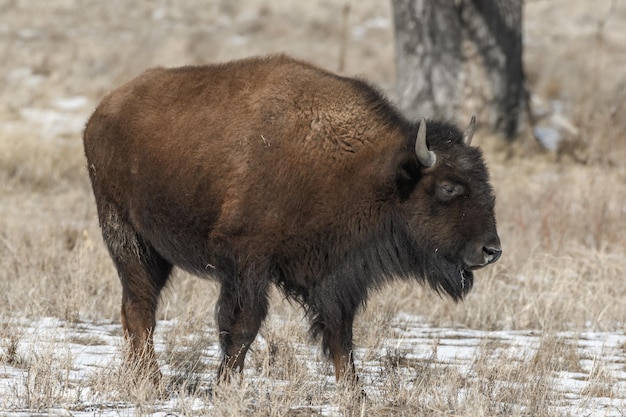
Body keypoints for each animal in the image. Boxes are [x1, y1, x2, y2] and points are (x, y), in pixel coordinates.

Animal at [84, 53, 502, 386]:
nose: (491, 250)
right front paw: (223, 387)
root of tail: (99, 115)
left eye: (486, 180)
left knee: (135, 310)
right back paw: (151, 382)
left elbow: (341, 336)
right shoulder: (246, 264)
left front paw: (356, 394)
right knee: (141, 309)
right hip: (128, 238)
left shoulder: (336, 277)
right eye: (448, 188)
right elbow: (242, 326)